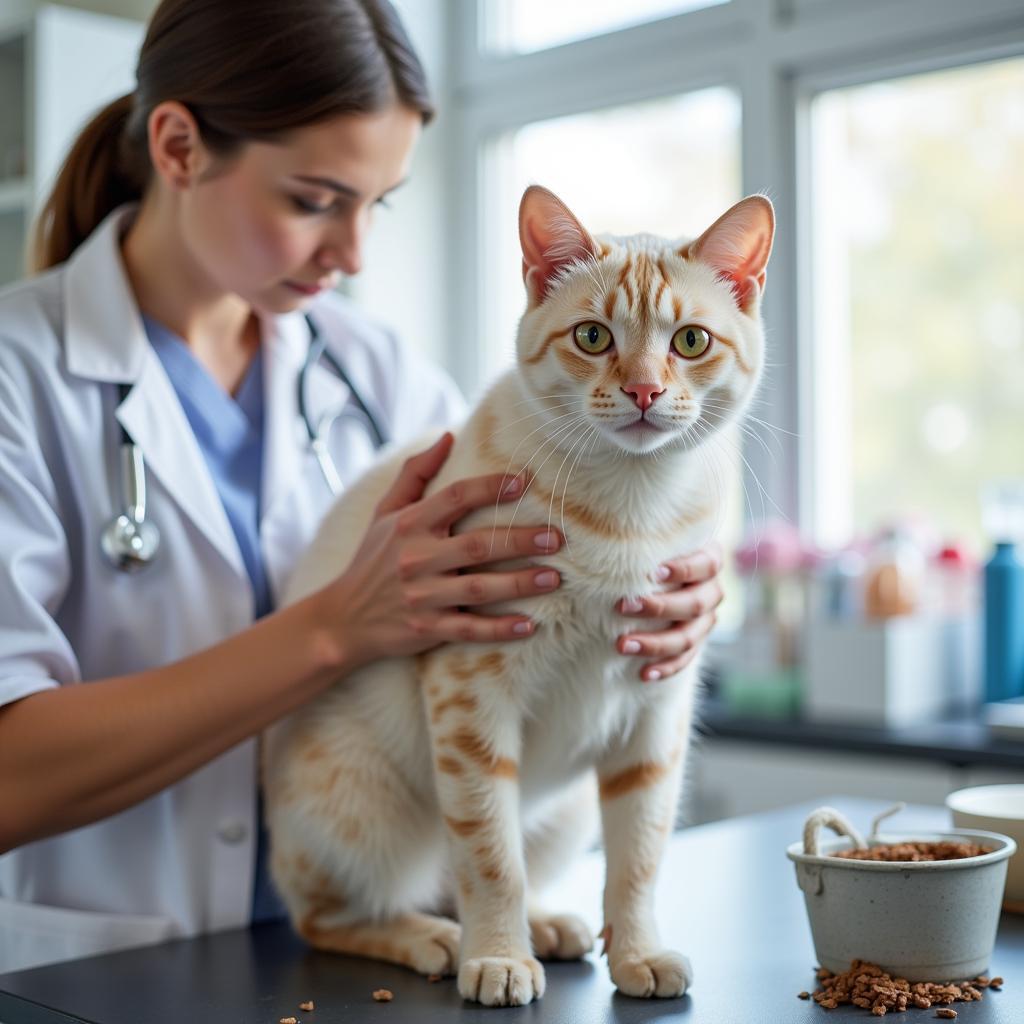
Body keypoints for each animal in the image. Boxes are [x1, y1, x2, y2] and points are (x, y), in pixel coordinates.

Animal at [260, 184, 770, 1007]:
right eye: (593, 336)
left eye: (691, 342)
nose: (644, 390)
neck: (628, 508)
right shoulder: (471, 697)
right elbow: (490, 855)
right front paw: (497, 959)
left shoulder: (656, 712)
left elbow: (639, 858)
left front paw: (638, 954)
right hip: (361, 805)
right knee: (340, 912)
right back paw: (435, 939)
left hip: (564, 813)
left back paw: (549, 925)